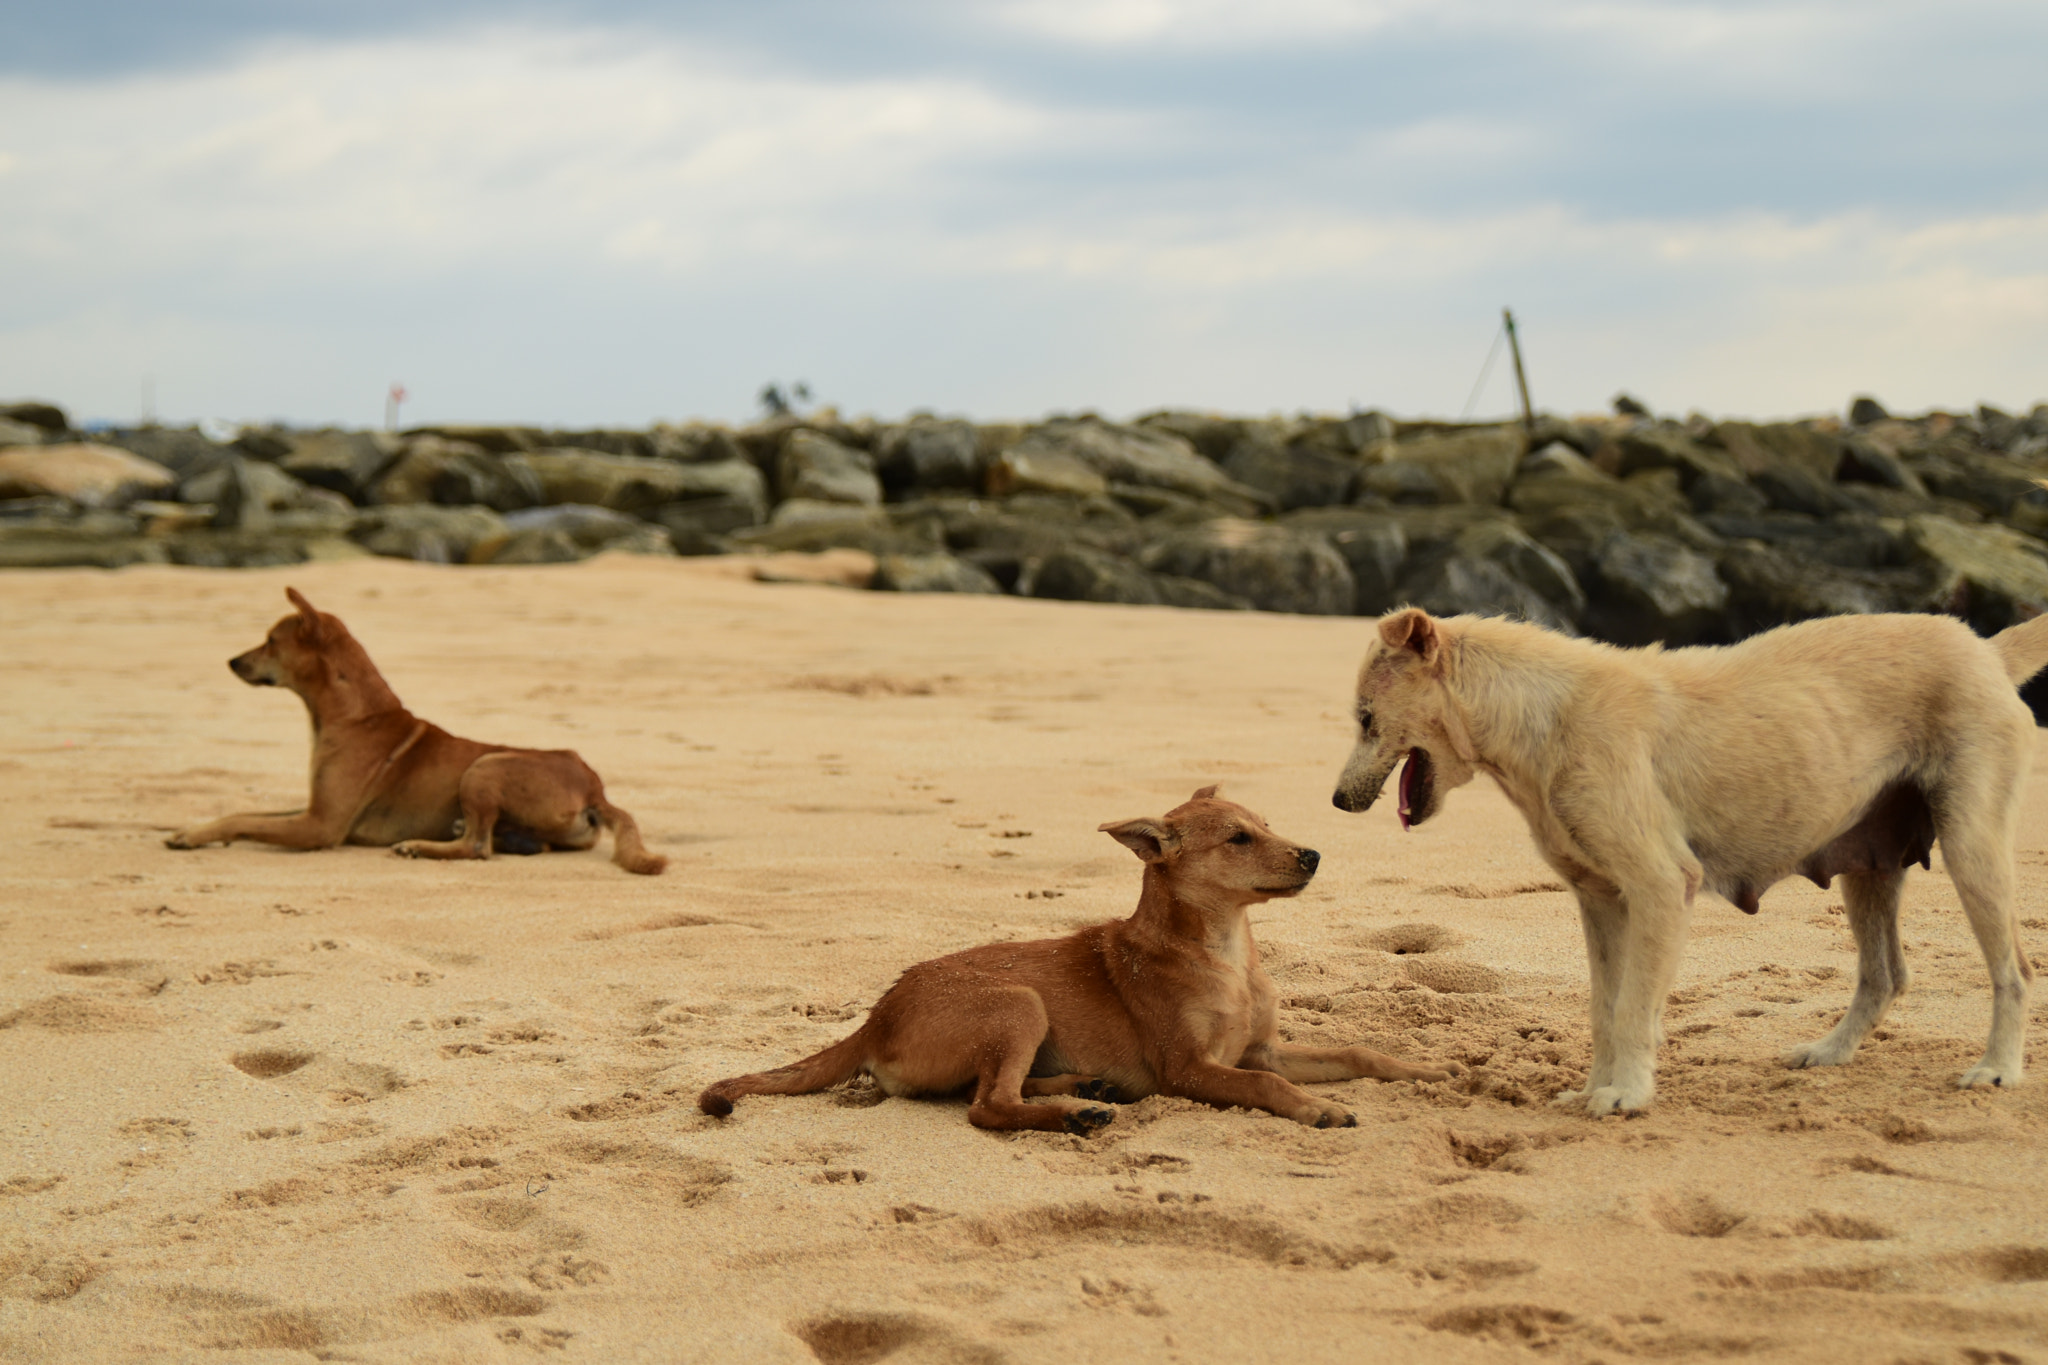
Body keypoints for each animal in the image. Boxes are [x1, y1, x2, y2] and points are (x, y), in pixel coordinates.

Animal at [166, 589, 667, 875]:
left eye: (271, 641)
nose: (232, 662)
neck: (354, 715)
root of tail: (595, 787)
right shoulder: (312, 808)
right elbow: (243, 812)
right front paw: (196, 830)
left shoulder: (320, 826)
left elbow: (247, 820)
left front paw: (192, 836)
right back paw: (509, 839)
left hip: (486, 766)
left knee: (477, 847)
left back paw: (421, 847)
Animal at [704, 785, 1458, 1137]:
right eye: (1239, 839)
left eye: (1268, 825)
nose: (1313, 855)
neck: (1223, 950)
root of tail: (875, 1015)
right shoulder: (1191, 1070)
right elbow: (1268, 1087)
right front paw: (1318, 1108)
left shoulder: (1264, 1047)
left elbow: (1359, 1051)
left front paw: (1429, 1070)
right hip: (1017, 1002)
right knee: (987, 1106)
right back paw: (1074, 1114)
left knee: (994, 1090)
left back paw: (1085, 1089)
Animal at [1327, 609, 2048, 1121]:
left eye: (1365, 718)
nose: (1335, 800)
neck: (1544, 714)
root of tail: (1987, 650)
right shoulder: (1600, 899)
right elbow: (1604, 1009)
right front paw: (1593, 1090)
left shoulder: (1659, 885)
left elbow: (1631, 1007)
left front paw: (1626, 1094)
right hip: (1867, 867)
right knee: (1885, 975)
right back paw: (1829, 1053)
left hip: (1971, 846)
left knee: (2014, 969)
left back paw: (1997, 1069)